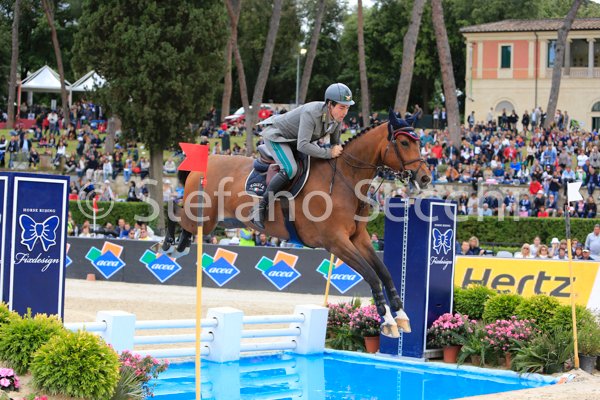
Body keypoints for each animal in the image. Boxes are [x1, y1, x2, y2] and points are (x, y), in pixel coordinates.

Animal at [163, 111, 431, 337]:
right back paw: (169, 245)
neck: (346, 180)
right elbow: (372, 276)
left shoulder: (359, 238)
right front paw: (388, 322)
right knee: (173, 210)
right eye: (404, 143)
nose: (426, 178)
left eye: (419, 142)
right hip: (204, 217)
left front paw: (402, 316)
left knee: (183, 220)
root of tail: (201, 165)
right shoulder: (336, 242)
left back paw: (180, 246)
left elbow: (384, 273)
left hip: (215, 220)